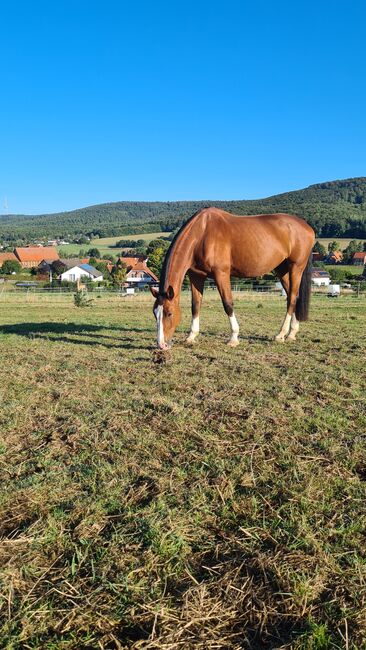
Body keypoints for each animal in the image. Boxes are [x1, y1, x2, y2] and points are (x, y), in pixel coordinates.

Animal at [150, 208, 316, 350]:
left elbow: (228, 304)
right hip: (282, 269)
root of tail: (307, 227)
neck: (201, 234)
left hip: (296, 268)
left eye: (169, 313)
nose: (161, 345)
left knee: (292, 298)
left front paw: (234, 338)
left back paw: (281, 334)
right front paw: (191, 336)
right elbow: (195, 305)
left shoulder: (221, 274)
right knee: (293, 297)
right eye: (155, 313)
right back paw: (292, 333)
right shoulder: (196, 275)